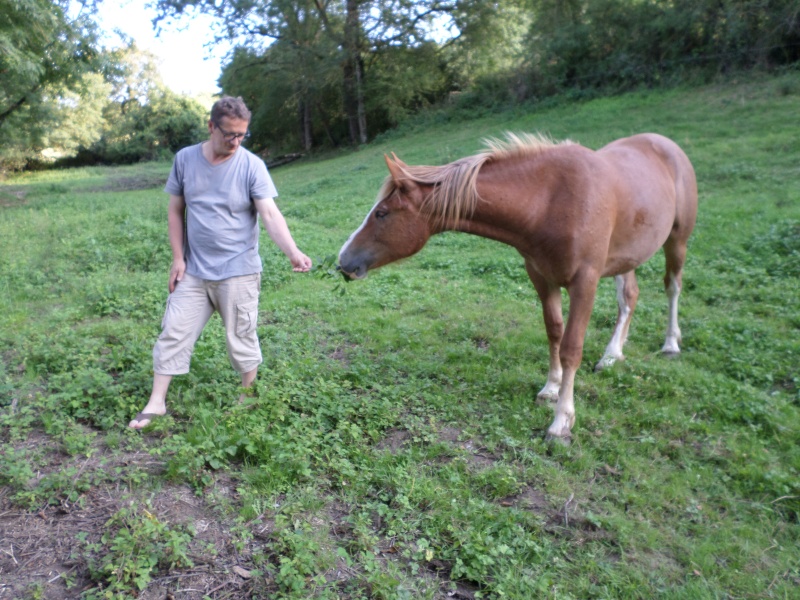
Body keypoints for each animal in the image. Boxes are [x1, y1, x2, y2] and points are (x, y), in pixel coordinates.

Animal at [338, 134, 692, 438]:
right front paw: (551, 388)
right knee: (628, 297)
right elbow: (554, 332)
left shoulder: (584, 283)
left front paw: (562, 421)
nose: (343, 260)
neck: (551, 201)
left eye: (382, 213)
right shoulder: (541, 277)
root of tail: (665, 143)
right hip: (626, 256)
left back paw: (670, 344)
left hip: (677, 241)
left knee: (672, 287)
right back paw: (612, 354)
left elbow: (571, 347)